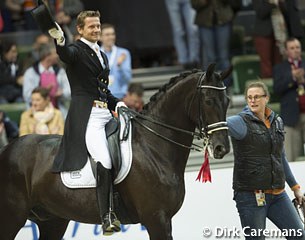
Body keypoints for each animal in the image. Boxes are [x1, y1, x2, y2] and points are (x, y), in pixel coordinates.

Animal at [0, 63, 230, 240]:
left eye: (227, 101)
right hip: (12, 217)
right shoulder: (156, 218)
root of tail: (7, 148)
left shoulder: (163, 220)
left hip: (52, 220)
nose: (222, 148)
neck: (153, 147)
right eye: (208, 101)